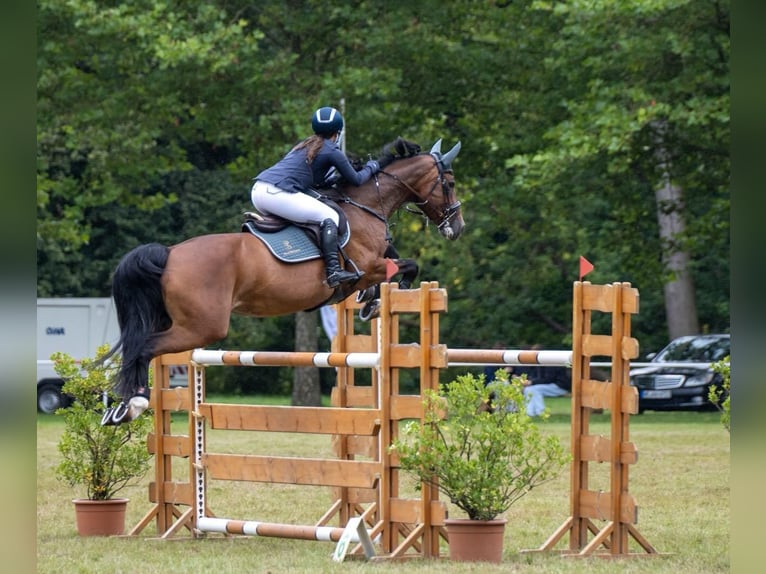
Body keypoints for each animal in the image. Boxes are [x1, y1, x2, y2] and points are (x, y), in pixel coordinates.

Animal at [100, 137, 464, 425]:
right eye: (450, 183)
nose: (457, 227)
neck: (365, 204)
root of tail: (170, 253)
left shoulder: (378, 261)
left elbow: (396, 261)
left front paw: (370, 301)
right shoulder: (368, 266)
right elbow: (406, 266)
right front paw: (379, 299)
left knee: (138, 347)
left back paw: (119, 408)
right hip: (202, 328)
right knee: (144, 347)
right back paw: (135, 403)